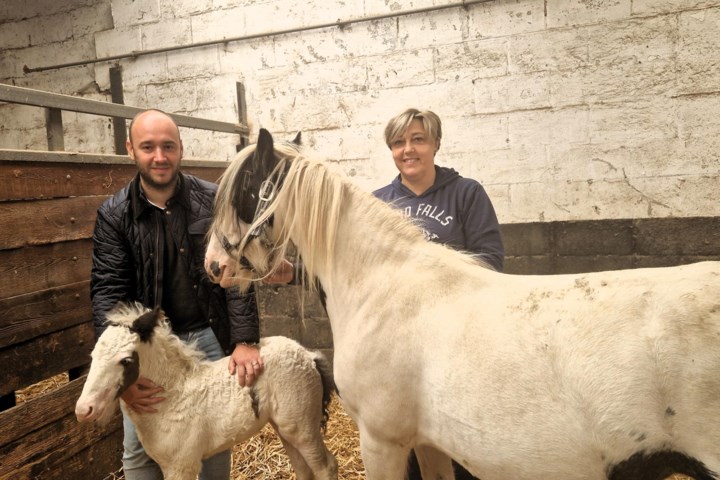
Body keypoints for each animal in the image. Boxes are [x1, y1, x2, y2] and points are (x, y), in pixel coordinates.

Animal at [74, 304, 338, 480]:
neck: (173, 398)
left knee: (326, 466)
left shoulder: (183, 466)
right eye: (92, 356)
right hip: (285, 428)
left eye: (126, 361)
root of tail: (309, 355)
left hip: (302, 428)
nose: (84, 409)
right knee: (304, 469)